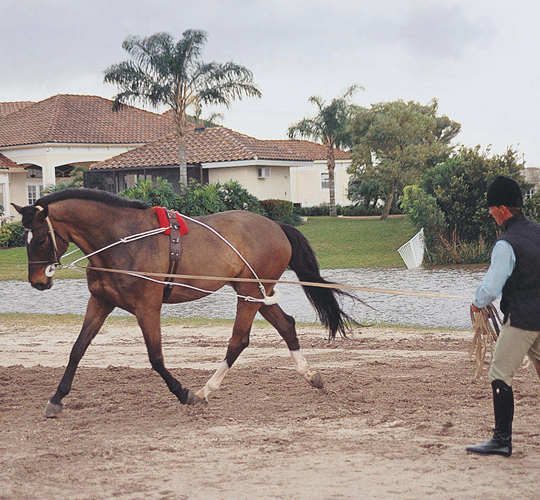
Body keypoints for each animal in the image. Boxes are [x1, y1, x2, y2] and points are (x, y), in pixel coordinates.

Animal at [12, 188, 356, 418]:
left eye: (40, 238)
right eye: (24, 239)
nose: (38, 281)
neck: (122, 240)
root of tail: (276, 226)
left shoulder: (147, 308)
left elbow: (156, 358)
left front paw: (184, 393)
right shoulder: (100, 302)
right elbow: (77, 349)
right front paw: (56, 399)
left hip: (248, 294)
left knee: (239, 340)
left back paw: (205, 390)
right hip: (256, 293)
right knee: (286, 326)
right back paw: (310, 375)